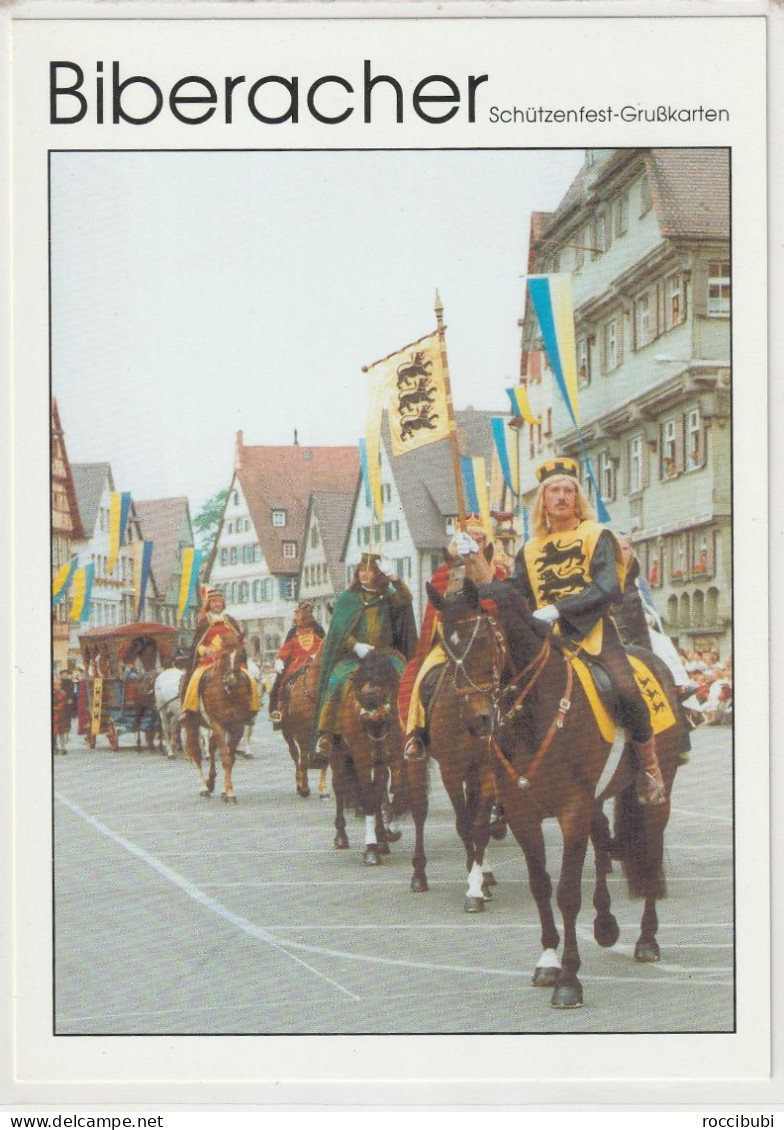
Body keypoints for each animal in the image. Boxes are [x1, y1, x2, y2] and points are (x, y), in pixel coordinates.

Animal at [183, 637, 253, 804]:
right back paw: (204, 787)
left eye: (242, 654)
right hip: (192, 724)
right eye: (223, 655)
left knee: (212, 748)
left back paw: (212, 784)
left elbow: (229, 758)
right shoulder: (218, 724)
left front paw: (226, 791)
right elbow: (225, 758)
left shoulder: (237, 726)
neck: (228, 694)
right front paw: (230, 794)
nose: (232, 681)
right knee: (197, 752)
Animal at [279, 655, 327, 804]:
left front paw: (324, 790)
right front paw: (304, 787)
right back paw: (299, 783)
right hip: (287, 732)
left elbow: (325, 755)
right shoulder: (303, 734)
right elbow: (304, 758)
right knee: (295, 754)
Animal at [327, 655, 408, 863]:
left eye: (384, 680)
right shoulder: (361, 758)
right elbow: (368, 796)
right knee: (339, 787)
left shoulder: (392, 756)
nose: (369, 700)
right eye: (361, 681)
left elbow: (390, 790)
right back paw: (341, 837)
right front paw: (371, 849)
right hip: (337, 753)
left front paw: (389, 833)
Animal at [429, 578, 686, 1012]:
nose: (477, 720)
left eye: (481, 641)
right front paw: (548, 962)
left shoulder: (572, 810)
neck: (536, 711)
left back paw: (647, 940)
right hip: (596, 801)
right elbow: (541, 886)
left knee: (648, 854)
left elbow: (567, 892)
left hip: (655, 795)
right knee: (602, 843)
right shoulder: (522, 813)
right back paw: (605, 924)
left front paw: (569, 981)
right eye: (446, 648)